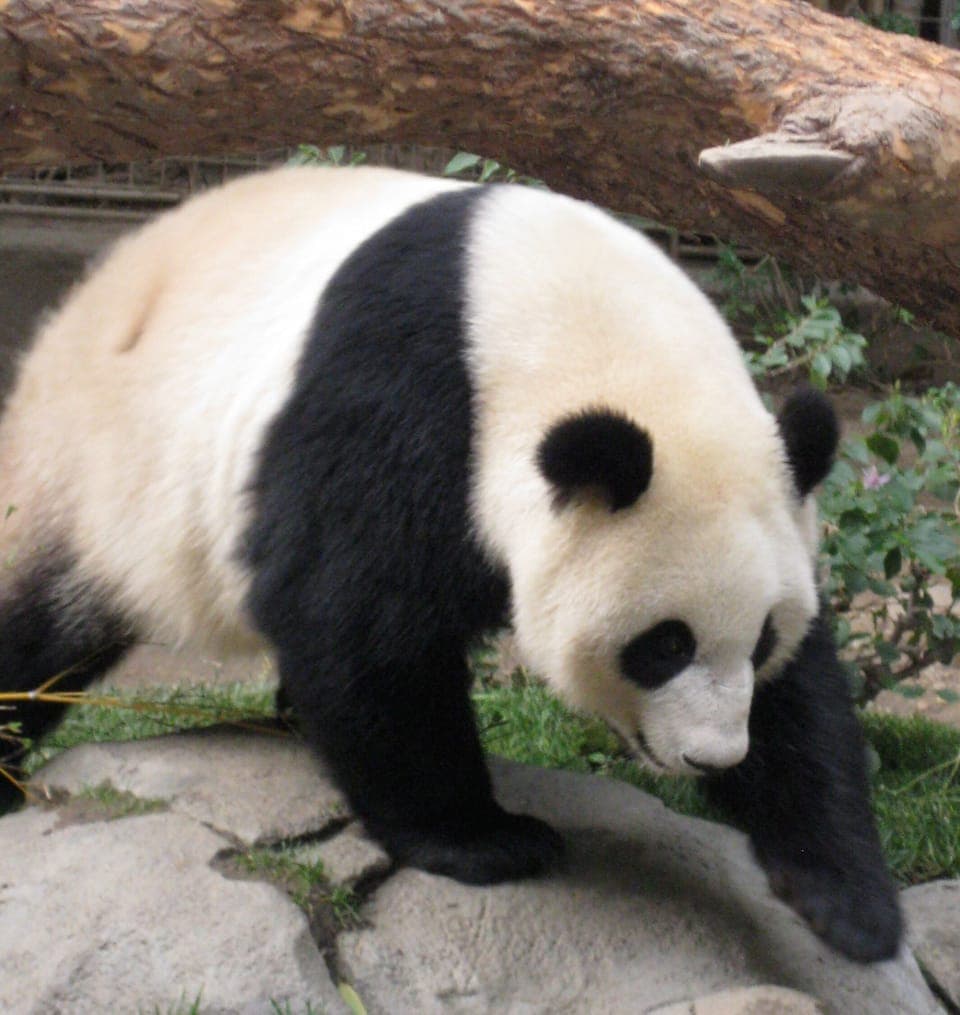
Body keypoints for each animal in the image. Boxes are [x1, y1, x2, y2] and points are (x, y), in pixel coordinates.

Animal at [0, 166, 900, 962]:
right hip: (92, 469)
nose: (712, 756)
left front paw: (845, 900)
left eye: (760, 638)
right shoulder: (404, 394)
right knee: (36, 624)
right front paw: (485, 839)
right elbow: (356, 620)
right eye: (664, 644)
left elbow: (803, 695)